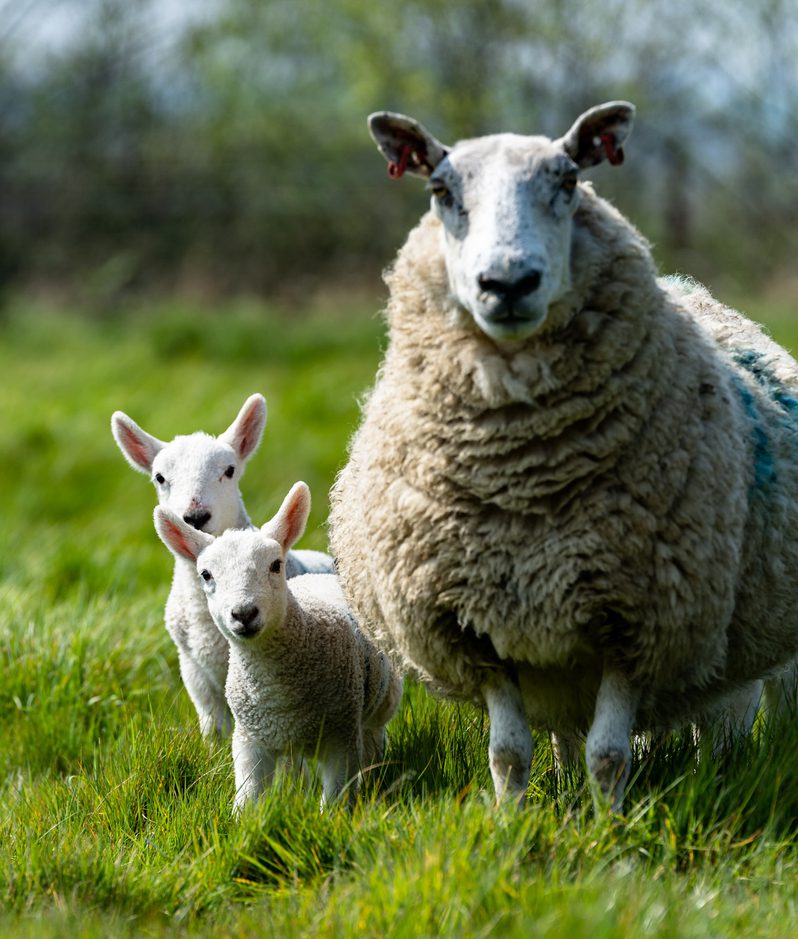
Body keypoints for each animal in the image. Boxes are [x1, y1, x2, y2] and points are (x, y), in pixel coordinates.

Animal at [153, 481, 402, 811]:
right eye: (206, 575)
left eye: (275, 565)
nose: (244, 613)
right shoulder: (249, 742)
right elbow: (248, 800)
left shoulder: (341, 737)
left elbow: (335, 801)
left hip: (379, 707)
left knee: (374, 742)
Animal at [328, 101, 798, 812]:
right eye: (440, 190)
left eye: (570, 180)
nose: (507, 282)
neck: (523, 478)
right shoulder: (471, 626)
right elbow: (507, 752)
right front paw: (512, 821)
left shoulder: (639, 623)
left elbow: (611, 755)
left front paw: (609, 826)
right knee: (575, 733)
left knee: (743, 708)